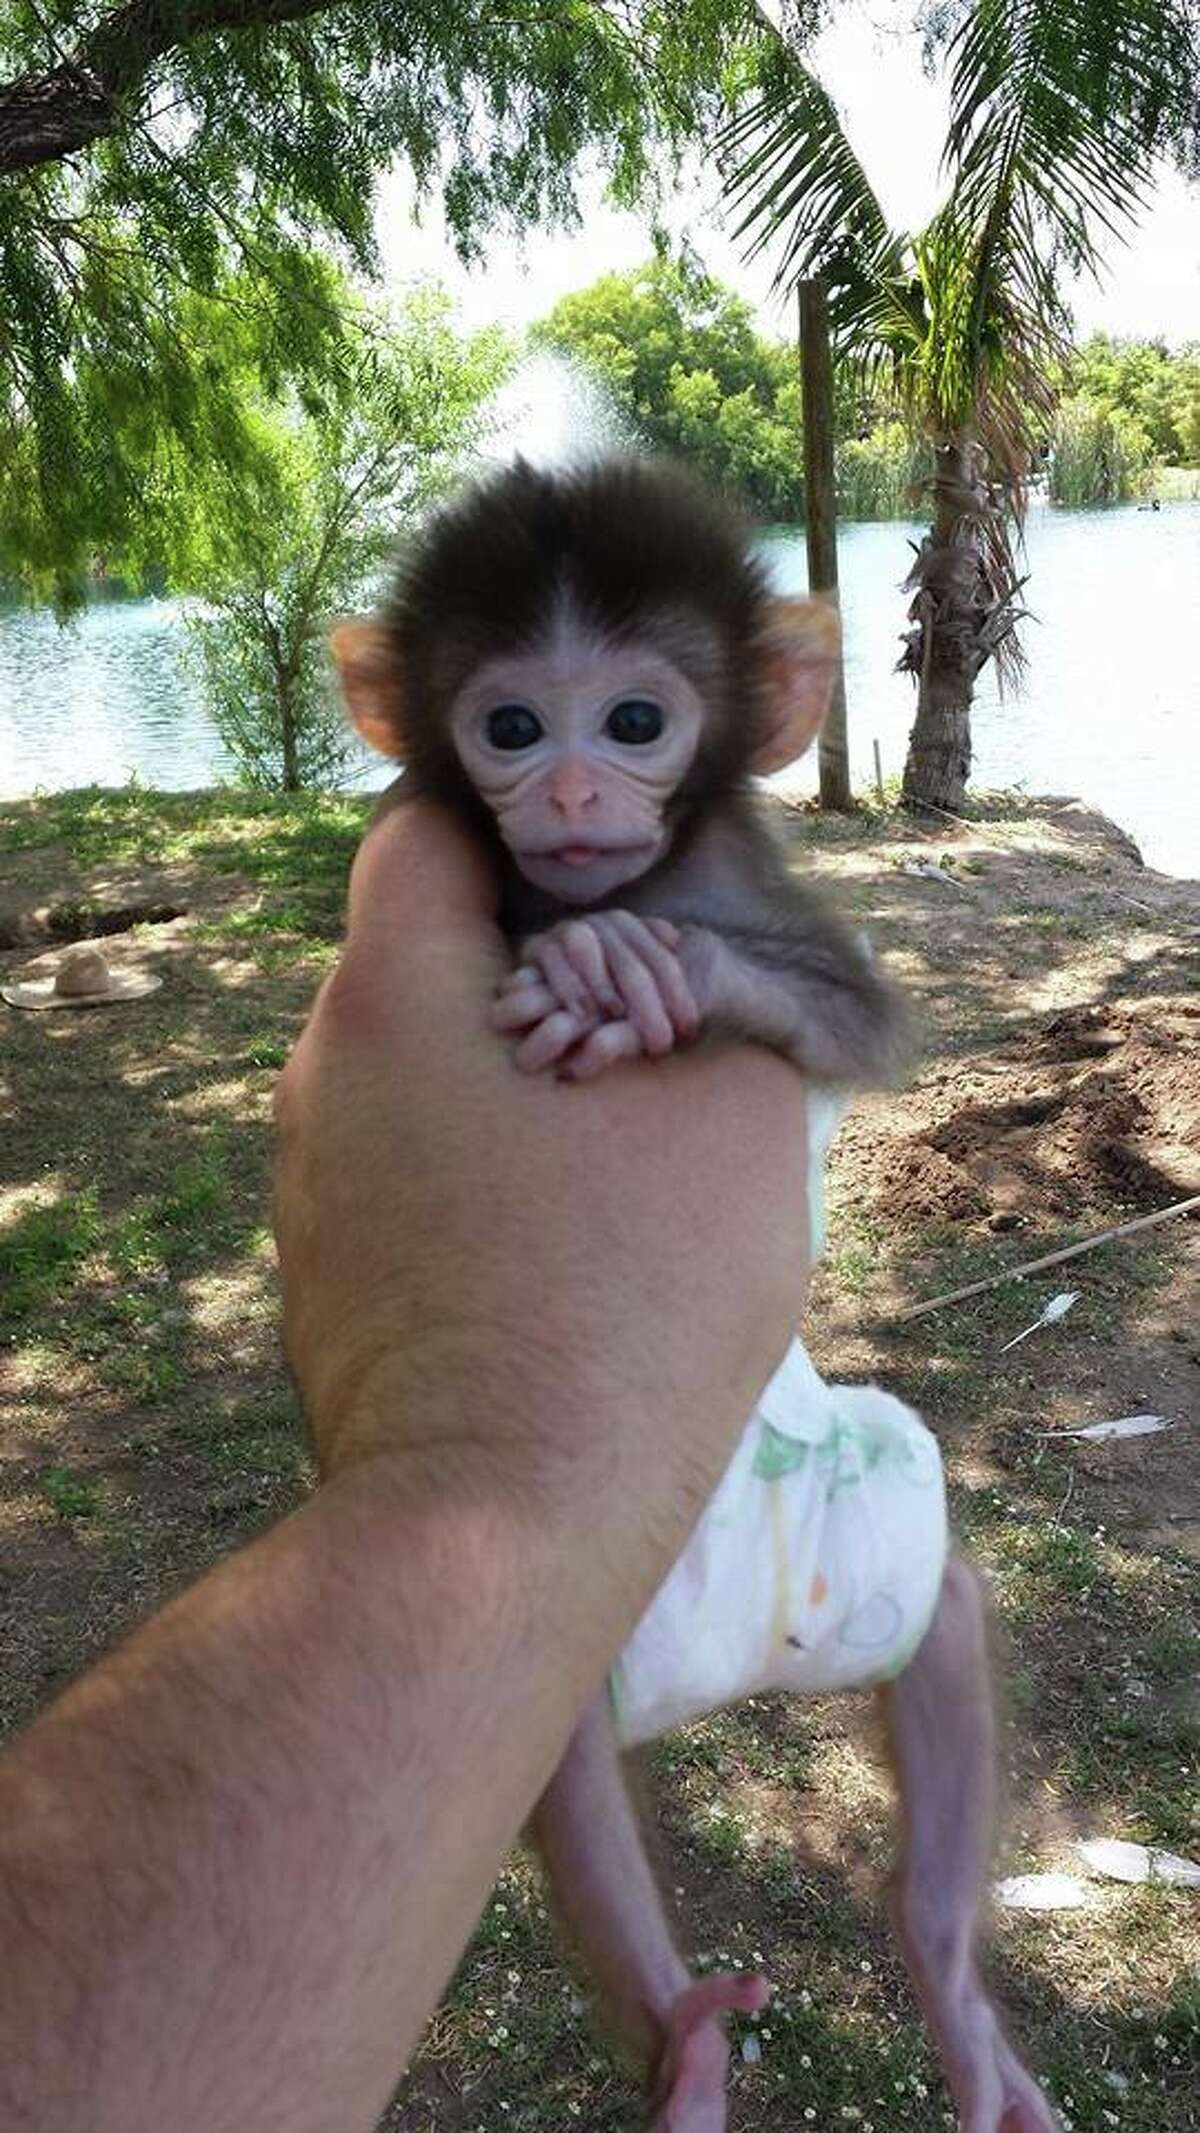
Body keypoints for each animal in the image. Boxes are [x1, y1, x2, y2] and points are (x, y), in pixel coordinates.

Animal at [331, 458, 1060, 2133]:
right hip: (574, 1624)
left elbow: (853, 1015)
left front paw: (658, 974)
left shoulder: (753, 879)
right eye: (510, 726)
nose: (569, 799)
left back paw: (946, 1975)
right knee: (550, 1763)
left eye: (632, 721)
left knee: (947, 1610)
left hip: (863, 1543)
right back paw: (686, 2049)